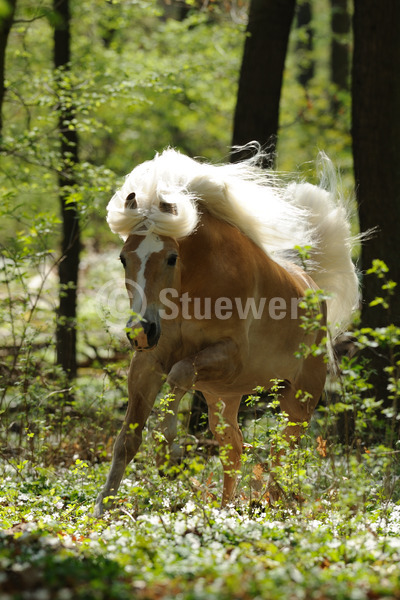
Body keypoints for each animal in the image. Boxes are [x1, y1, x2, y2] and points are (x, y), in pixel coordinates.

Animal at [94, 146, 360, 516]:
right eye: (123, 258)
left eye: (172, 257)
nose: (141, 331)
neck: (193, 290)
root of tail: (310, 284)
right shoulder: (148, 363)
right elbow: (126, 440)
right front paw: (101, 509)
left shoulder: (229, 357)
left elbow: (179, 374)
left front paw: (169, 456)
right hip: (223, 398)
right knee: (234, 450)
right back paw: (226, 509)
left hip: (298, 401)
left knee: (280, 452)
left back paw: (273, 505)